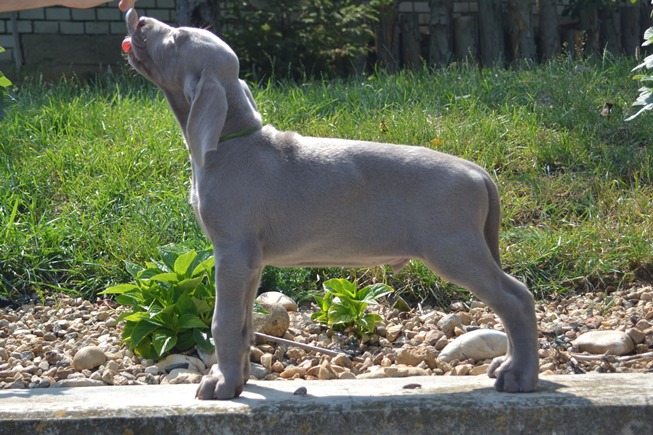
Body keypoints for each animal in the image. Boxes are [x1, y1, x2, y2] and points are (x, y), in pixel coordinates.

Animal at [122, 9, 539, 400]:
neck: (232, 143)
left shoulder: (231, 251)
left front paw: (220, 384)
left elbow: (222, 322)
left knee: (516, 298)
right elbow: (242, 324)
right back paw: (508, 365)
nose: (139, 20)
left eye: (175, 39)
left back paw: (520, 376)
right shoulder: (250, 261)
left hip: (453, 248)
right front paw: (237, 379)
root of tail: (476, 170)